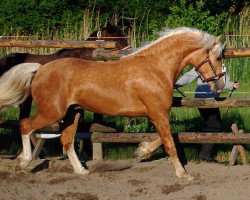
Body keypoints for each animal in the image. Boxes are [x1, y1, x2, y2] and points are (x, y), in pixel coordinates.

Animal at [0, 27, 226, 179]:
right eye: (218, 57)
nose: (220, 84)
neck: (156, 68)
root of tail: (40, 69)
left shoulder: (157, 113)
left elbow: (166, 138)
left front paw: (141, 151)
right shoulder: (158, 112)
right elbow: (169, 141)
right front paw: (183, 174)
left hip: (73, 113)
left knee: (67, 140)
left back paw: (82, 170)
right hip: (52, 113)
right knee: (25, 126)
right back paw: (24, 161)